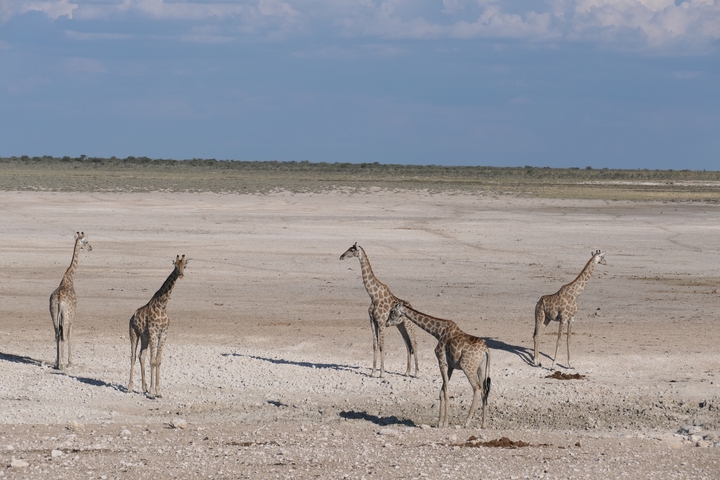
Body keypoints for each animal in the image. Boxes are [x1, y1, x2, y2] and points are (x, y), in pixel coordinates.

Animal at [49, 232, 92, 370]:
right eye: (86, 241)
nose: (91, 248)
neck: (69, 279)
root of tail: (59, 301)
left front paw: (58, 361)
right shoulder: (73, 315)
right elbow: (70, 335)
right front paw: (70, 361)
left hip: (53, 315)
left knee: (57, 334)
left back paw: (58, 363)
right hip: (66, 316)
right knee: (63, 335)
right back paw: (62, 364)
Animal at [128, 255, 187, 399]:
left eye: (185, 266)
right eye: (175, 266)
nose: (181, 275)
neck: (163, 305)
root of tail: (132, 317)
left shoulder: (163, 333)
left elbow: (158, 360)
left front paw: (158, 391)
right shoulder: (154, 333)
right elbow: (153, 361)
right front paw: (152, 392)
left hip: (144, 337)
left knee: (141, 356)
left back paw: (143, 388)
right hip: (133, 333)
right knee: (132, 356)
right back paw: (129, 387)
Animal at [340, 243, 419, 378]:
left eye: (352, 250)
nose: (341, 256)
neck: (373, 296)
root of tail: (412, 306)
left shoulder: (381, 322)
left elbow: (382, 346)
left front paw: (381, 373)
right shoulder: (373, 322)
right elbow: (374, 345)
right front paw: (373, 372)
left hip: (409, 324)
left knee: (414, 343)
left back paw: (417, 373)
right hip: (401, 325)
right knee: (408, 345)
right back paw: (407, 372)